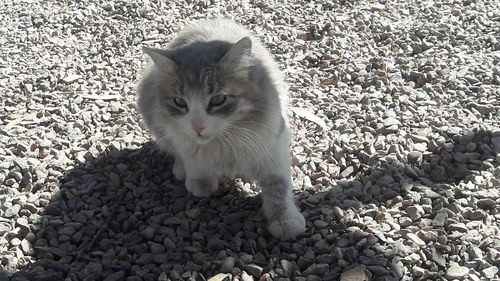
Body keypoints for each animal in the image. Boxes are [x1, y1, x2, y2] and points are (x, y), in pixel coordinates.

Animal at [137, 18, 304, 240]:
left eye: (218, 99)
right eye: (180, 102)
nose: (197, 126)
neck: (223, 142)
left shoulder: (273, 148)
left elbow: (278, 187)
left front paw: (286, 221)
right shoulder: (182, 139)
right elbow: (193, 159)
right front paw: (200, 181)